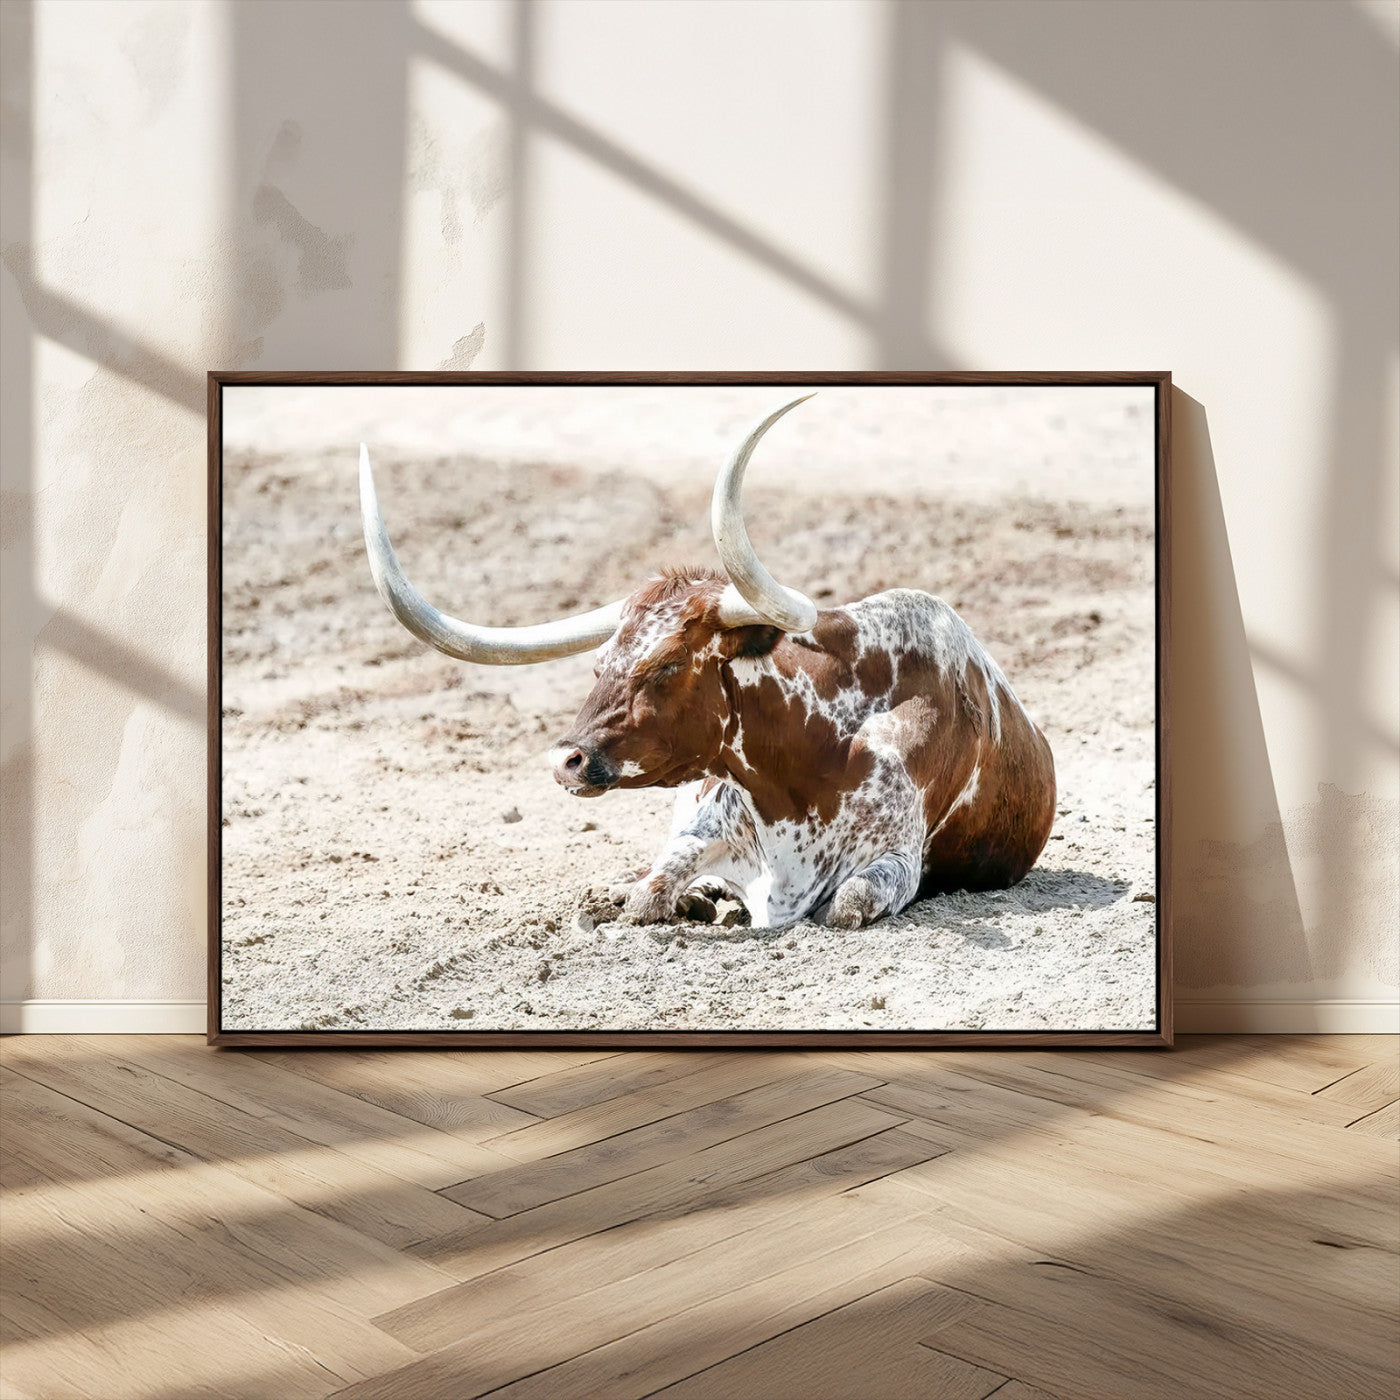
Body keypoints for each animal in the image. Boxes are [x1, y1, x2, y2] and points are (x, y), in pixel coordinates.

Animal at [360, 396, 1056, 930]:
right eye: (600, 664)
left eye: (668, 664)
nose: (566, 761)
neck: (812, 760)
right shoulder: (702, 824)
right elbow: (650, 890)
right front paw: (662, 897)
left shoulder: (897, 862)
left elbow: (846, 903)